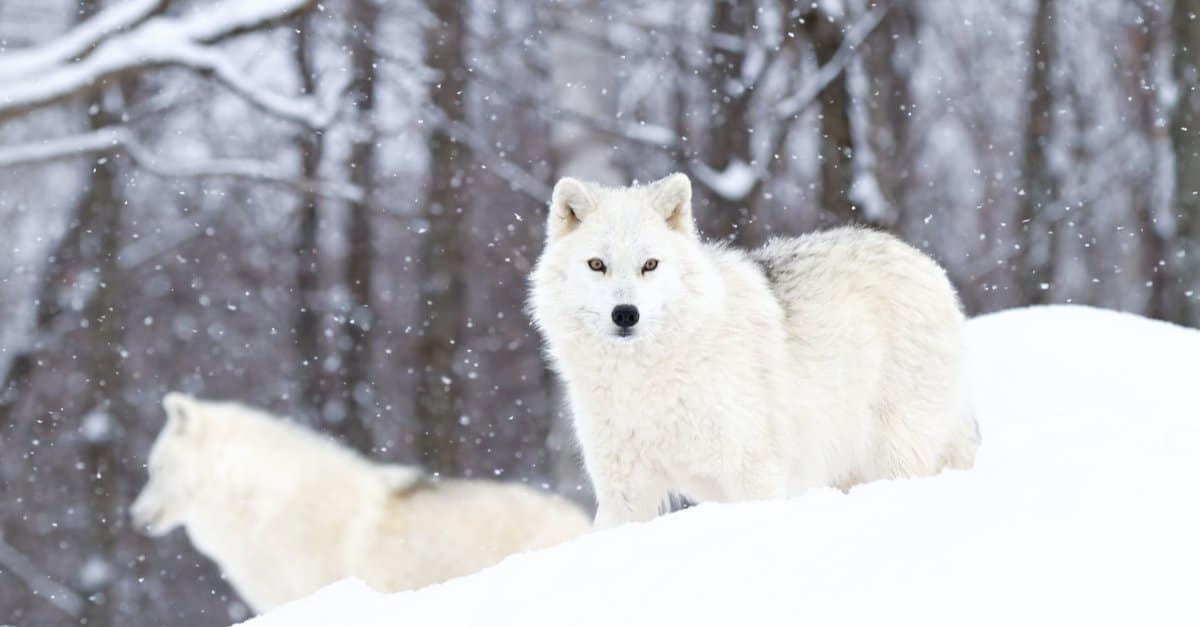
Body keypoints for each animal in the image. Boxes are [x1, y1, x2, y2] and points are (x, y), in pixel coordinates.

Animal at [529, 173, 979, 528]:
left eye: (650, 265)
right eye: (597, 265)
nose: (625, 314)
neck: (645, 380)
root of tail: (924, 262)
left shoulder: (753, 474)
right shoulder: (622, 492)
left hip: (893, 454)